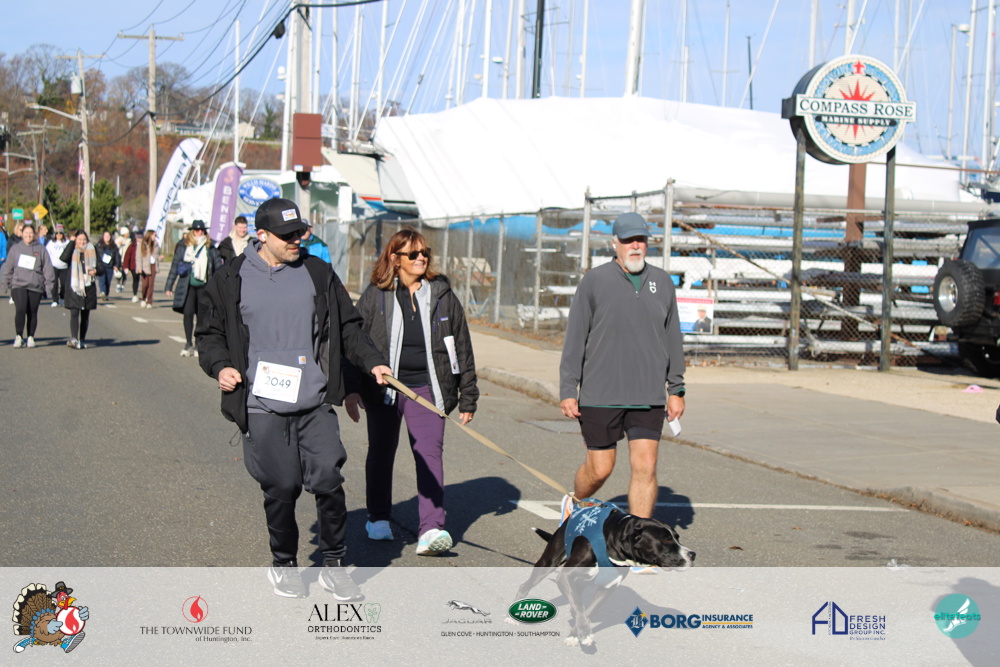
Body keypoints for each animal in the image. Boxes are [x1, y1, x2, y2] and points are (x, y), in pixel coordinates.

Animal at [513, 501, 694, 647]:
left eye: (677, 537)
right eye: (666, 540)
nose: (692, 554)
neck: (613, 541)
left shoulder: (607, 587)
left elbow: (587, 611)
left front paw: (576, 634)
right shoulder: (565, 576)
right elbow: (579, 606)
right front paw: (583, 633)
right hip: (548, 562)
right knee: (526, 585)